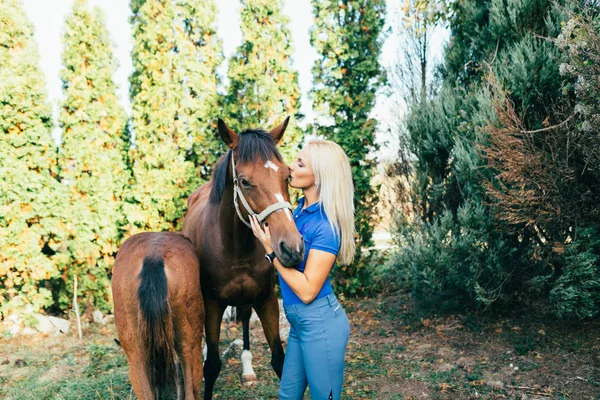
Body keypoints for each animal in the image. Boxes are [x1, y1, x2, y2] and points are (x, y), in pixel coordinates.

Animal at [183, 117, 304, 398]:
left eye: (287, 176)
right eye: (245, 181)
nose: (292, 247)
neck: (234, 248)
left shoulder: (266, 300)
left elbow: (279, 359)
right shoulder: (213, 304)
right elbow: (212, 365)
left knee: (246, 318)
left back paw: (247, 368)